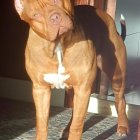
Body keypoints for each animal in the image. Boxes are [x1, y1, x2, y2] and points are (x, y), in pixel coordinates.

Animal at [14, 0, 129, 139]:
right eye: (36, 15)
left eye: (56, 1)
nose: (55, 18)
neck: (58, 45)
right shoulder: (41, 90)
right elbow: (42, 123)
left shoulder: (83, 88)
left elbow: (77, 125)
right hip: (72, 89)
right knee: (74, 110)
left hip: (116, 75)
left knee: (120, 100)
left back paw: (123, 127)